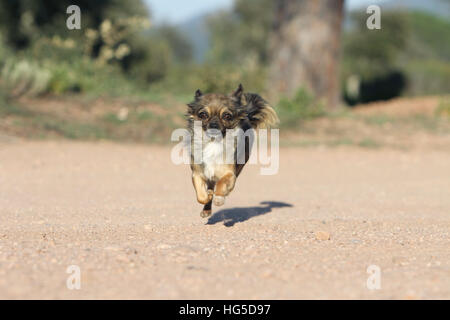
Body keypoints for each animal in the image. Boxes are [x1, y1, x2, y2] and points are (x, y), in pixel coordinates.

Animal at [185, 84, 278, 218]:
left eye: (227, 116)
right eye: (203, 115)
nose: (213, 125)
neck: (213, 142)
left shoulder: (229, 173)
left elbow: (222, 183)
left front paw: (219, 198)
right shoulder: (198, 174)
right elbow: (201, 196)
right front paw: (208, 197)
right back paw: (207, 208)